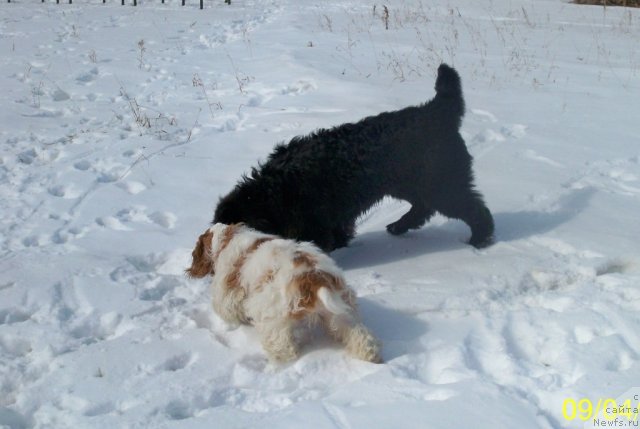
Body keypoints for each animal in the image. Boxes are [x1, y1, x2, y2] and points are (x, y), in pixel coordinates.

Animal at [188, 222, 382, 362]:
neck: (226, 239)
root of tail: (315, 278)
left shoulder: (228, 292)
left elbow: (225, 306)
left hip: (274, 318)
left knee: (283, 347)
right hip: (341, 313)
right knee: (359, 335)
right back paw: (371, 356)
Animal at [215, 63, 496, 251]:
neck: (274, 194)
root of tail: (437, 111)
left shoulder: (312, 222)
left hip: (440, 183)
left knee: (473, 208)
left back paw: (480, 239)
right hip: (412, 182)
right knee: (423, 207)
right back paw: (399, 226)